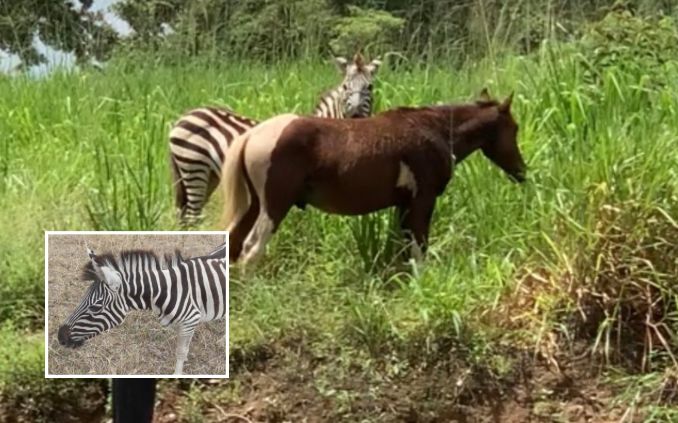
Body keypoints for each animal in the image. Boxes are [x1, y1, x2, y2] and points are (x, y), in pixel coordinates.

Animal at [57, 243, 227, 375]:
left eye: (95, 307)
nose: (60, 337)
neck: (166, 291)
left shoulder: (190, 320)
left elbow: (180, 351)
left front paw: (177, 374)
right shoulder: (186, 323)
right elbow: (184, 348)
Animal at [169, 53, 382, 225]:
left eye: (370, 87)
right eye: (346, 87)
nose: (355, 115)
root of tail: (184, 117)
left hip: (207, 174)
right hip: (194, 166)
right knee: (192, 217)